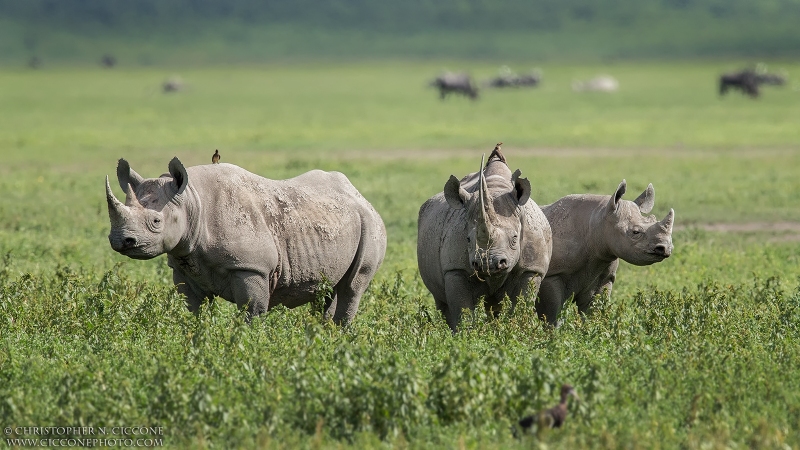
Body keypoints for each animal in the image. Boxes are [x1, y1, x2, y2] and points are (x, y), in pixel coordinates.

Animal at [106, 156, 388, 322]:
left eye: (156, 222)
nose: (121, 241)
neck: (192, 200)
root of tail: (360, 195)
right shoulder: (183, 265)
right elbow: (196, 313)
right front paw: (198, 345)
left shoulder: (252, 268)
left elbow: (251, 314)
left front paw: (247, 347)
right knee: (329, 291)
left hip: (371, 224)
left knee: (352, 286)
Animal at [418, 147, 552, 330]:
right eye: (468, 239)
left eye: (515, 238)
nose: (488, 263)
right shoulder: (455, 268)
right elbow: (463, 311)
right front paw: (465, 335)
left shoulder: (532, 268)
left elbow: (521, 305)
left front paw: (516, 331)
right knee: (442, 302)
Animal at [536, 180, 676, 324]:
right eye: (635, 232)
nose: (665, 248)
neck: (598, 220)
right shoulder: (552, 275)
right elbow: (551, 315)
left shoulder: (603, 274)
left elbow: (593, 311)